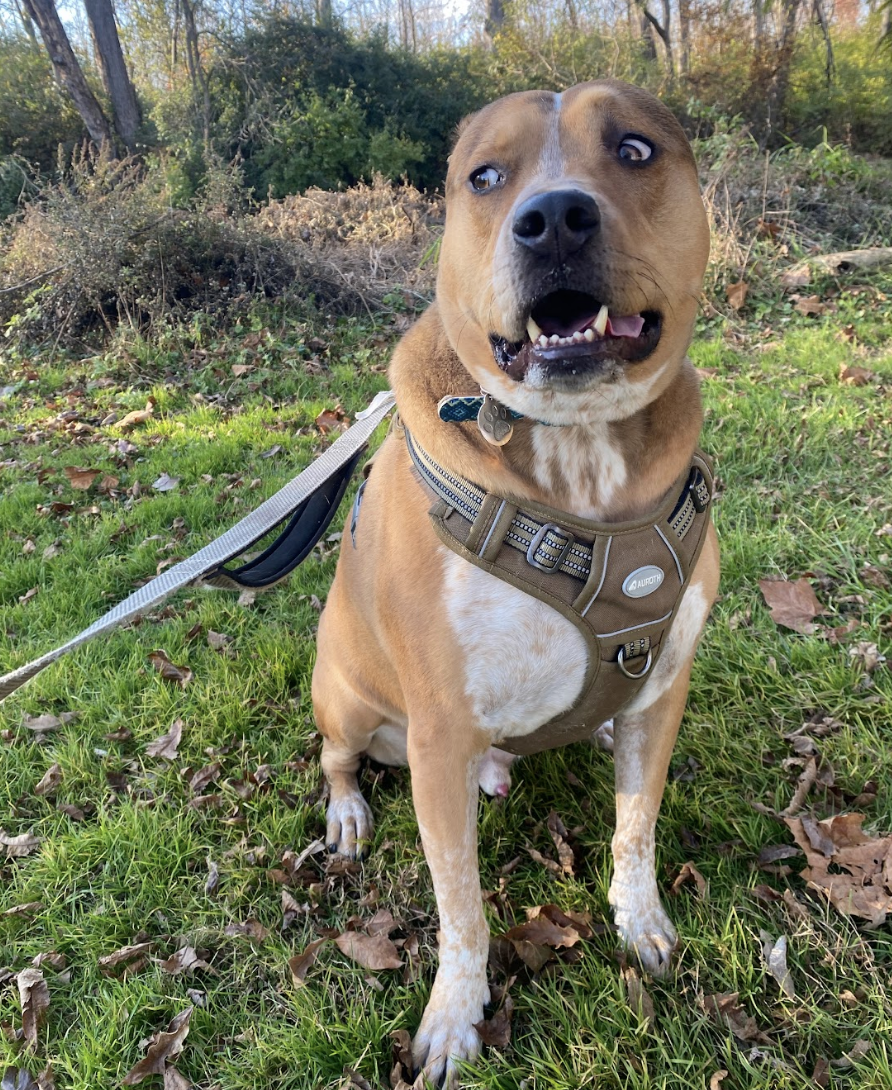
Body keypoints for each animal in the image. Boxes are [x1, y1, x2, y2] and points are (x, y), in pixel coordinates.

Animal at [311, 80, 715, 1085]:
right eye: (485, 178)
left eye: (636, 150)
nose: (555, 218)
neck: (580, 456)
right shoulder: (441, 735)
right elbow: (460, 905)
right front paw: (457, 1014)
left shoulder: (664, 691)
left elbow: (636, 826)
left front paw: (640, 920)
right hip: (343, 695)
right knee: (336, 757)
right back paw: (347, 814)